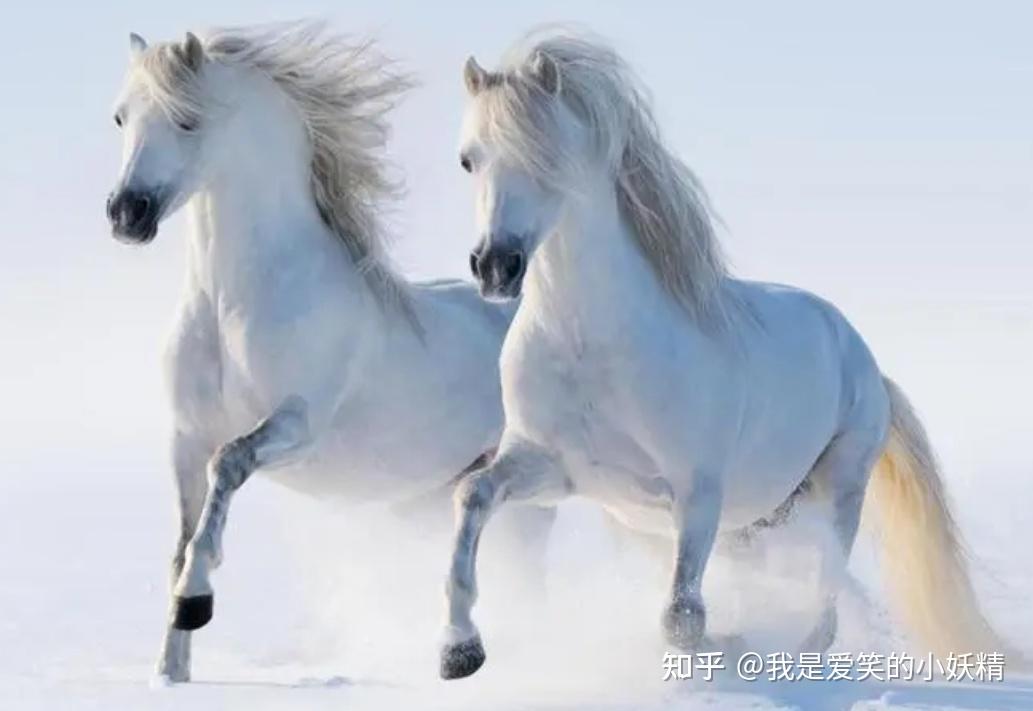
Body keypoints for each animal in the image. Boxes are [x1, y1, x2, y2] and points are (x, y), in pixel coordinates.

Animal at [106, 23, 552, 684]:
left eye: (188, 120)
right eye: (121, 116)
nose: (125, 214)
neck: (232, 304)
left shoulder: (297, 425)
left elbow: (228, 468)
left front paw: (196, 603)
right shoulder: (185, 437)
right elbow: (181, 543)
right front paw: (171, 672)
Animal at [438, 28, 1012, 680]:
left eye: (547, 156)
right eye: (468, 159)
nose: (496, 266)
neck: (593, 346)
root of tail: (864, 359)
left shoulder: (698, 493)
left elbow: (681, 619)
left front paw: (721, 650)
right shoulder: (553, 469)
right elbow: (471, 496)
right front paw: (458, 650)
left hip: (836, 490)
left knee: (826, 595)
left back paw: (799, 657)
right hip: (762, 521)